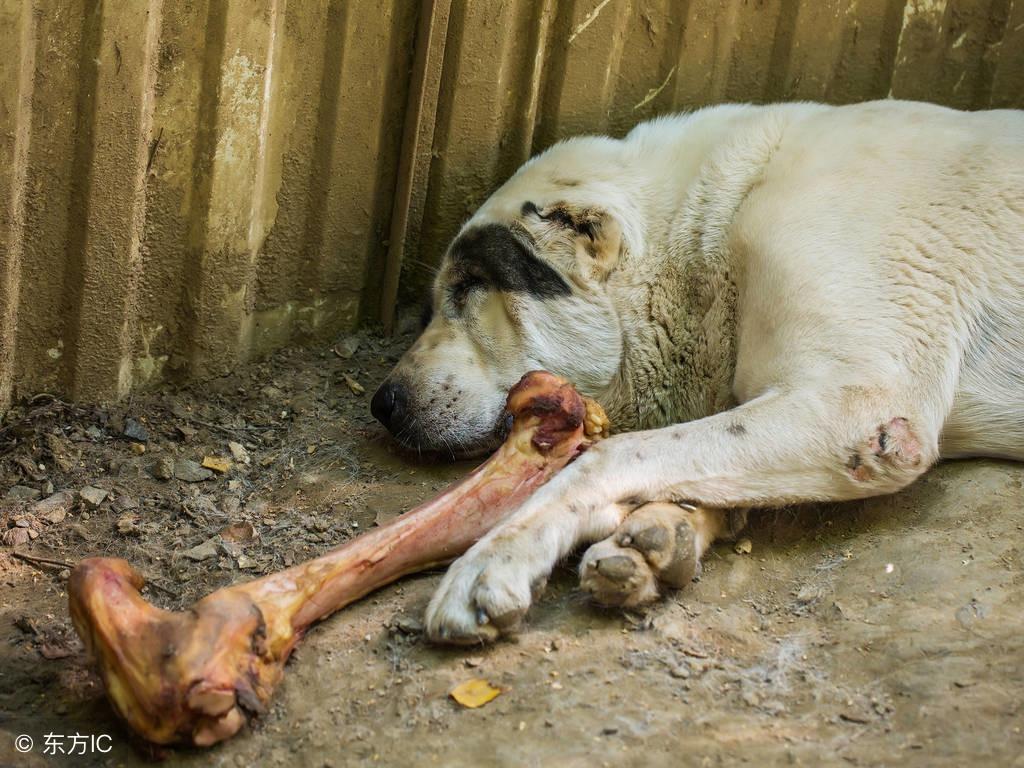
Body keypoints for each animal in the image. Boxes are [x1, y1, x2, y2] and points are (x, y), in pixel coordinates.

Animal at [370, 99, 1024, 647]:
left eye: (470, 286)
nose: (382, 404)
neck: (712, 228)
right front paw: (657, 540)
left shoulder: (860, 410)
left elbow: (610, 456)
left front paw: (497, 559)